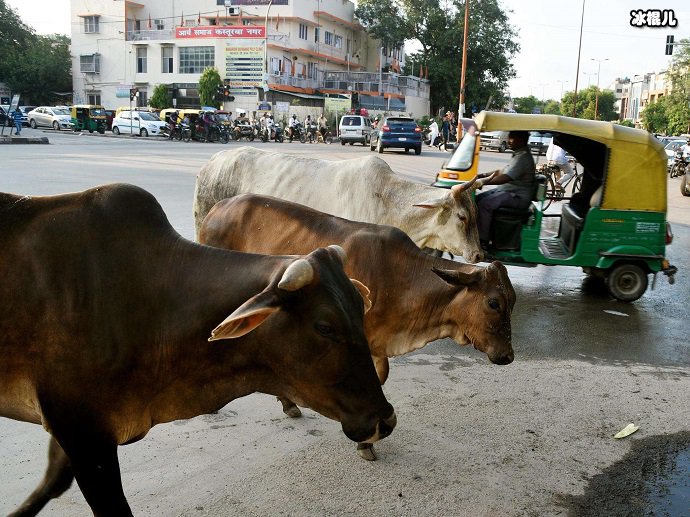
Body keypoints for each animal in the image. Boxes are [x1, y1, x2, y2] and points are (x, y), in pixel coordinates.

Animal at [0, 183, 396, 512]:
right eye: (325, 326)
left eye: (359, 309)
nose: (385, 420)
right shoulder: (82, 429)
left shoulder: (76, 429)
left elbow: (51, 484)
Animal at [196, 194, 512, 460]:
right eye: (493, 303)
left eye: (513, 301)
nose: (507, 355)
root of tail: (219, 207)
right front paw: (365, 442)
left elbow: (380, 378)